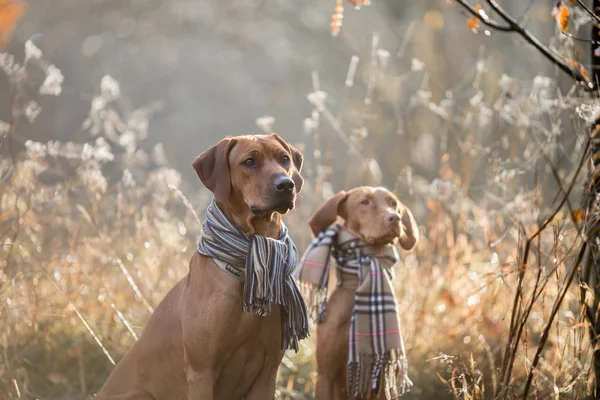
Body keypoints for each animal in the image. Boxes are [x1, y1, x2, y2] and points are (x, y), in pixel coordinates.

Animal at [96, 134, 308, 400]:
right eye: (249, 162)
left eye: (284, 159)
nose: (286, 185)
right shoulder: (201, 372)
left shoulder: (266, 376)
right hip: (139, 394)